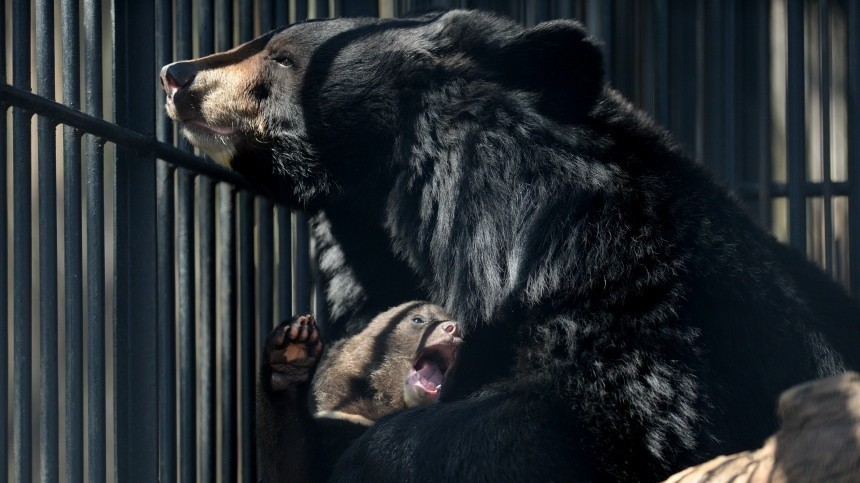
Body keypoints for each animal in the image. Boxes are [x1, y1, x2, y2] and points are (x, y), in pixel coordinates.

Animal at [258, 302, 464, 483]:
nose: (453, 329)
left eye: (451, 320)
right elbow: (295, 463)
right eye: (418, 319)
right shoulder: (340, 418)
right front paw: (294, 349)